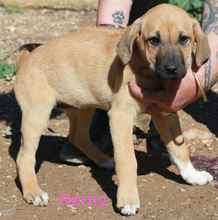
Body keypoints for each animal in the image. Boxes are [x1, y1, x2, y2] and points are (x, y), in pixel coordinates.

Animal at [14, 4, 213, 216]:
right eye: (154, 40)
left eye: (184, 39)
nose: (171, 69)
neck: (143, 67)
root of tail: (26, 59)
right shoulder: (121, 116)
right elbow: (128, 160)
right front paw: (128, 199)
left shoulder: (165, 113)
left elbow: (180, 149)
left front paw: (193, 175)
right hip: (37, 114)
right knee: (24, 157)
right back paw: (33, 192)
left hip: (82, 106)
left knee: (78, 137)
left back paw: (103, 160)